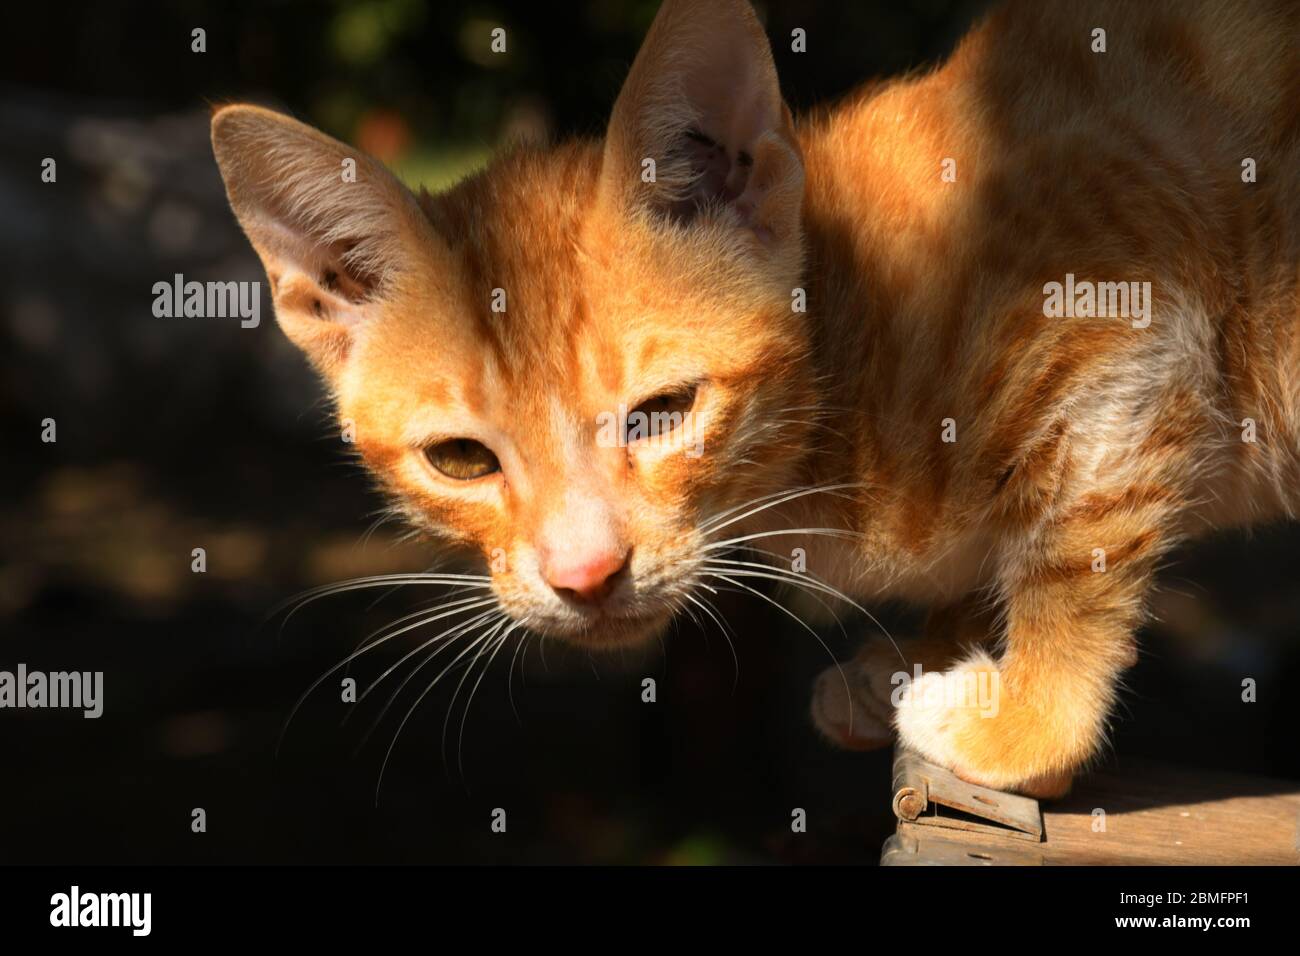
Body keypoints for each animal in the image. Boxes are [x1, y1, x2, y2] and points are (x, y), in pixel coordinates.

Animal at [213, 0, 1300, 801]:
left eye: (661, 412)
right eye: (462, 460)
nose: (585, 575)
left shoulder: (1123, 306)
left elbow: (1075, 539)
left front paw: (1030, 718)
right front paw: (926, 647)